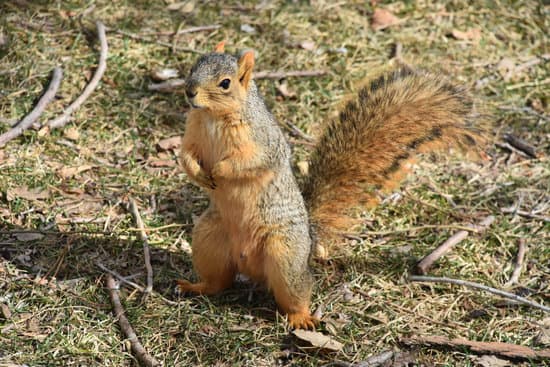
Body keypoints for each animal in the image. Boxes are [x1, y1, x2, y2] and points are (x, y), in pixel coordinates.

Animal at [178, 41, 488, 330]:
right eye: (194, 66)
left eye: (225, 83)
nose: (190, 92)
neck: (212, 117)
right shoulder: (192, 132)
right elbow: (186, 155)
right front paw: (199, 172)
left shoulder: (263, 142)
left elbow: (250, 161)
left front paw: (220, 169)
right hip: (209, 238)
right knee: (219, 281)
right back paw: (195, 287)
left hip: (285, 254)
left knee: (297, 290)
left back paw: (301, 317)